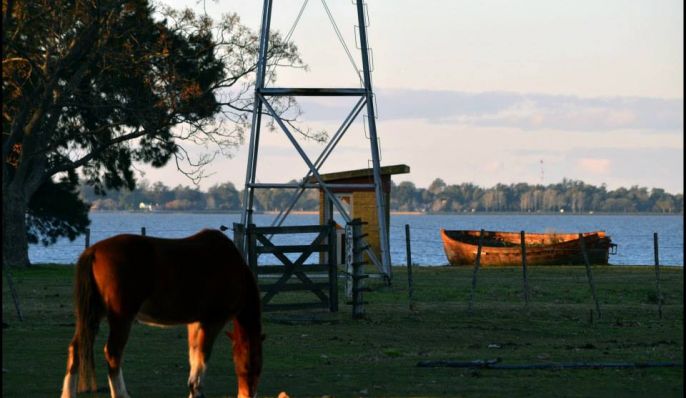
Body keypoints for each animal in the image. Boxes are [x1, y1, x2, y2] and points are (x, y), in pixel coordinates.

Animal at [59, 227, 264, 398]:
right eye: (253, 364)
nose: (248, 394)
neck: (231, 267)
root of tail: (94, 251)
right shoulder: (212, 322)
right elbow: (202, 359)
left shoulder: (195, 323)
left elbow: (194, 358)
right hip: (121, 317)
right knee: (113, 353)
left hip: (94, 315)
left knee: (76, 348)